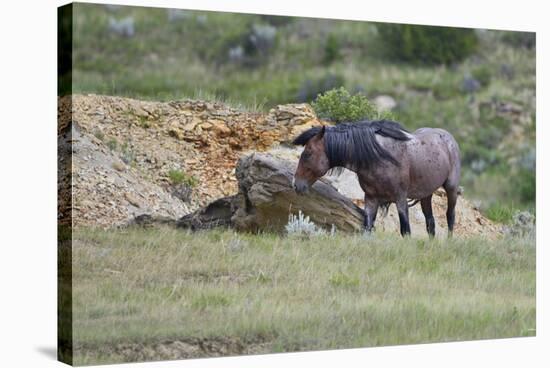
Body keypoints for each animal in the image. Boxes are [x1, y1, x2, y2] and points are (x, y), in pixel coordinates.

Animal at [294, 119, 462, 237]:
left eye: (308, 153)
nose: (296, 184)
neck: (379, 158)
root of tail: (448, 137)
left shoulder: (400, 199)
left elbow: (405, 231)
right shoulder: (371, 199)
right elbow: (367, 228)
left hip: (451, 188)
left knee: (450, 216)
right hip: (426, 194)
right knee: (430, 223)